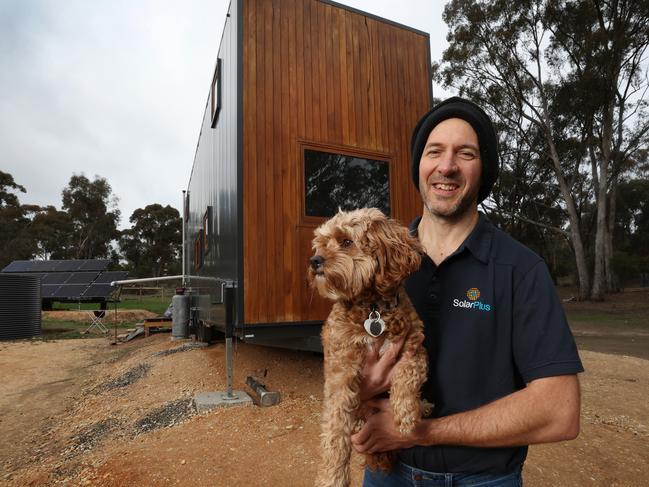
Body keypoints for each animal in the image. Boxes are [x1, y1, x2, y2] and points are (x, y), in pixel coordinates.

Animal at [310, 208, 430, 487]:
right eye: (322, 243)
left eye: (346, 242)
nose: (314, 260)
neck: (373, 307)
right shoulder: (341, 372)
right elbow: (335, 431)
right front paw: (332, 477)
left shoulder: (414, 349)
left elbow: (407, 376)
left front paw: (407, 415)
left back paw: (423, 406)